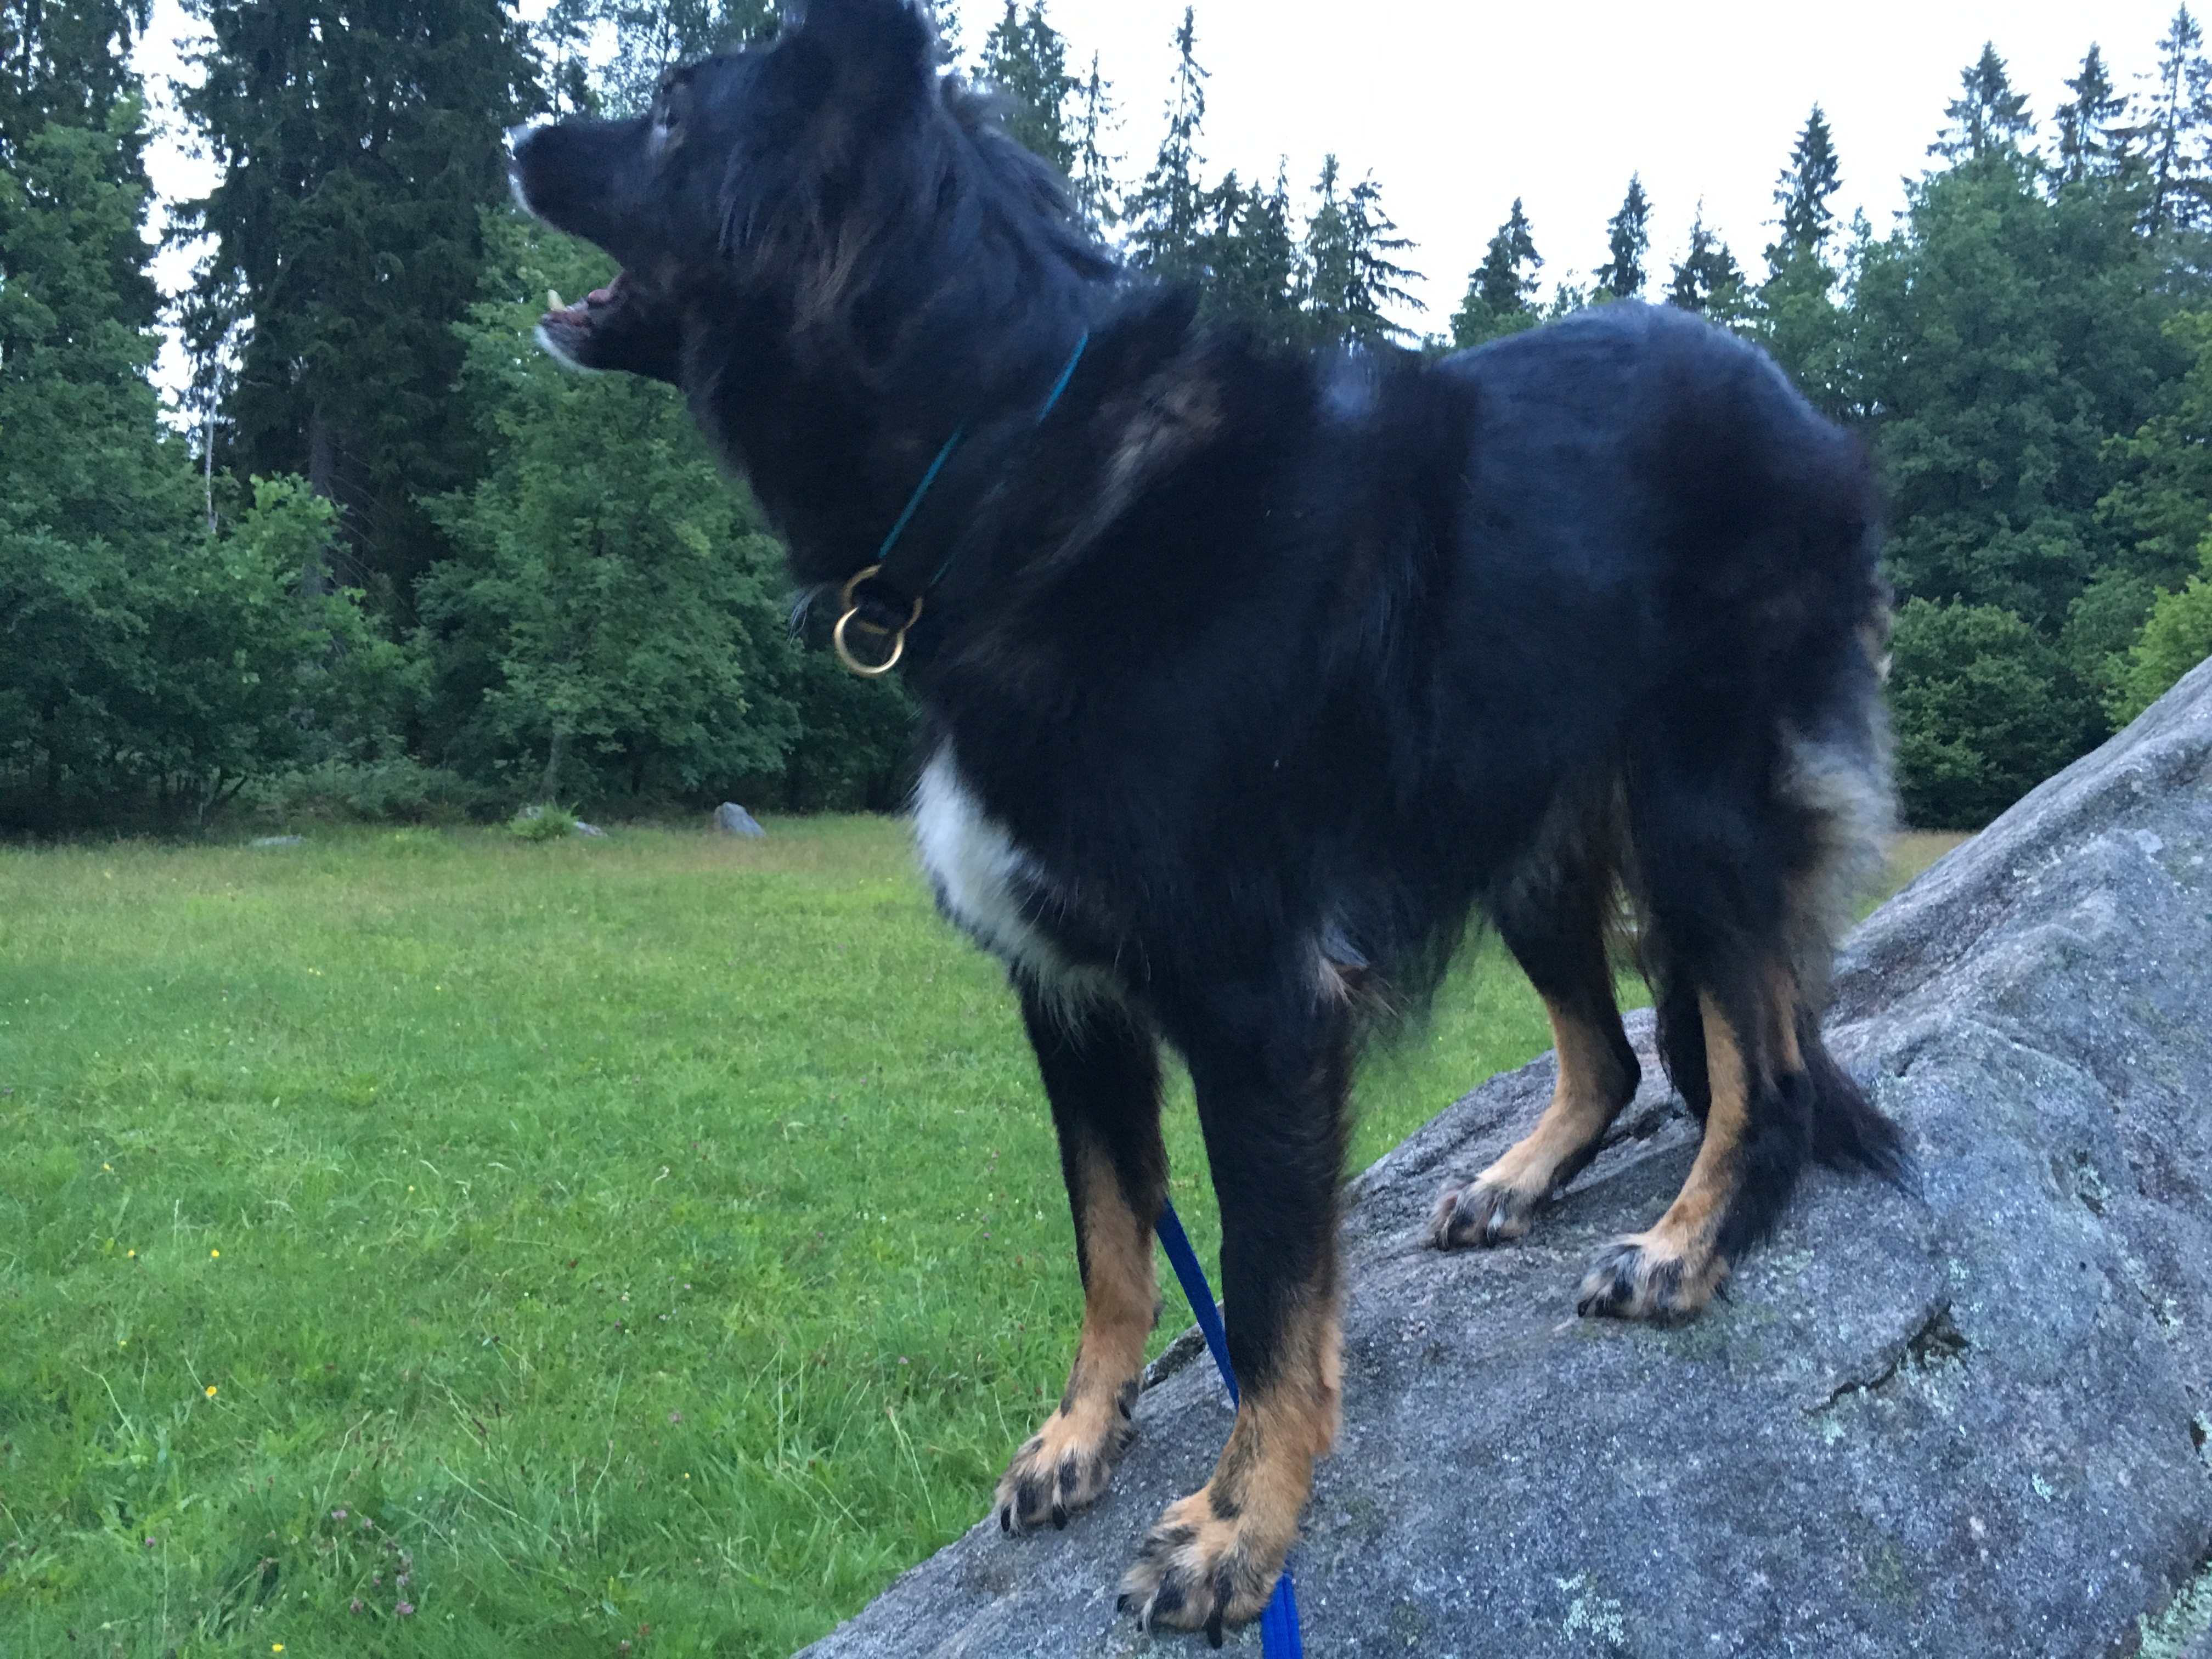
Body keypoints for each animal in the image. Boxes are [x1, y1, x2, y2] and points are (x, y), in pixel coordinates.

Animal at [509, 0, 1905, 1638]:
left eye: (673, 108)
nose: (518, 135)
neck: (1015, 459)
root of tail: (1803, 409)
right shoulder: (1067, 998)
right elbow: (1115, 1240)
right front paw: (1081, 1434)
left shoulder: (1260, 1009)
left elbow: (1266, 1292)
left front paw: (1242, 1527)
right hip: (1525, 837)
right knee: (1615, 1053)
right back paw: (1516, 1181)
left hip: (1696, 816)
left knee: (1765, 1068)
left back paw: (1689, 1245)